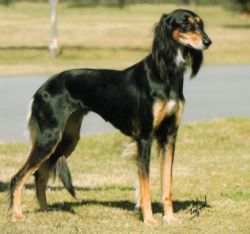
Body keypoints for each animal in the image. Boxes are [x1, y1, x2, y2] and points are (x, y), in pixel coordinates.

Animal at [9, 9, 211, 225]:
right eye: (185, 23)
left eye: (200, 24)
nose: (208, 41)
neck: (166, 73)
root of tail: (41, 88)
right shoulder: (145, 137)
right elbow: (146, 184)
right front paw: (149, 219)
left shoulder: (170, 136)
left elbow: (167, 182)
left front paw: (170, 218)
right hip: (49, 137)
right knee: (19, 176)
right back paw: (17, 214)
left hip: (67, 139)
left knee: (40, 173)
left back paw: (46, 209)